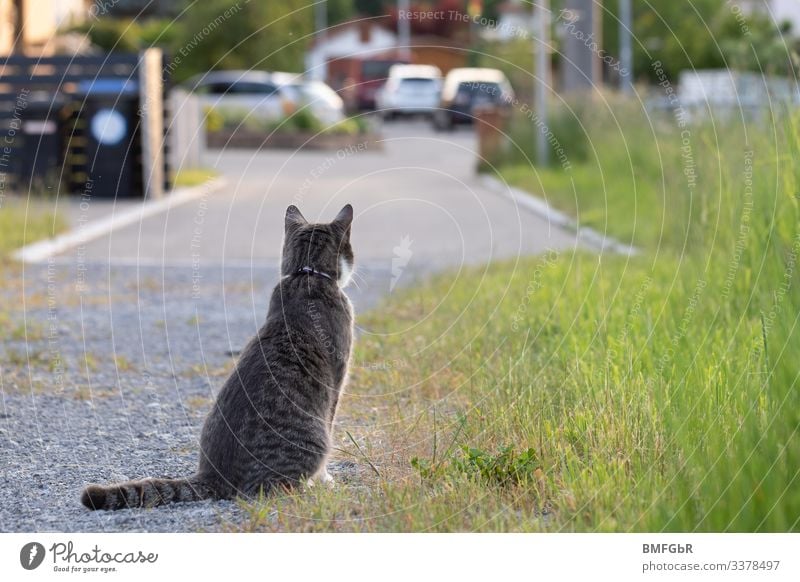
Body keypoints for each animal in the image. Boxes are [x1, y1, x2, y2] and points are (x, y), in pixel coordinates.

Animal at [82, 205, 356, 512]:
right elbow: (331, 422)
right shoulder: (336, 383)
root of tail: (213, 474)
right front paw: (325, 481)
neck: (306, 275)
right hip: (313, 440)